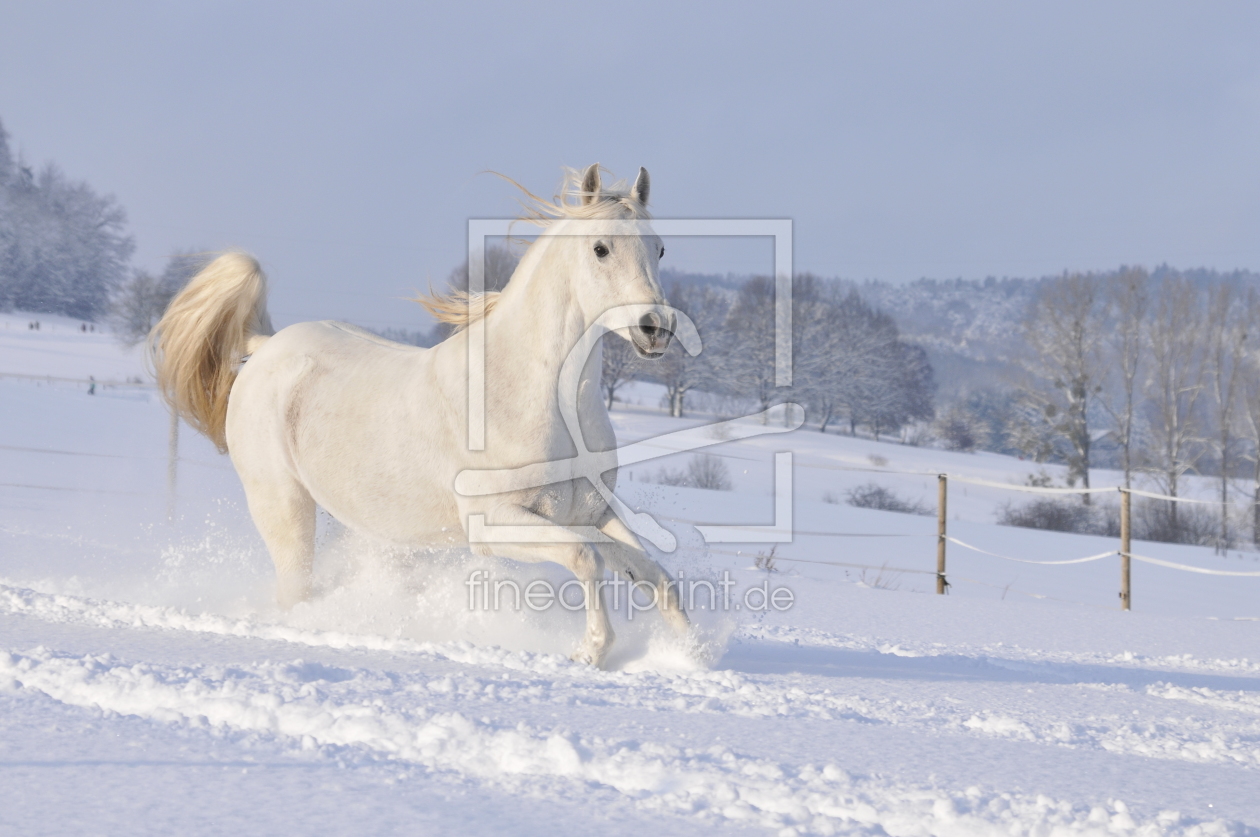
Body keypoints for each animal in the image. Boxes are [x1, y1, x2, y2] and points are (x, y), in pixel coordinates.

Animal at [154, 165, 700, 665]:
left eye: (660, 249)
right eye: (601, 248)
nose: (656, 328)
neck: (537, 397)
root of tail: (265, 346)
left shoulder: (592, 513)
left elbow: (653, 575)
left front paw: (693, 655)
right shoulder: (494, 525)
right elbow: (585, 558)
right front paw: (591, 651)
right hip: (284, 507)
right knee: (294, 591)